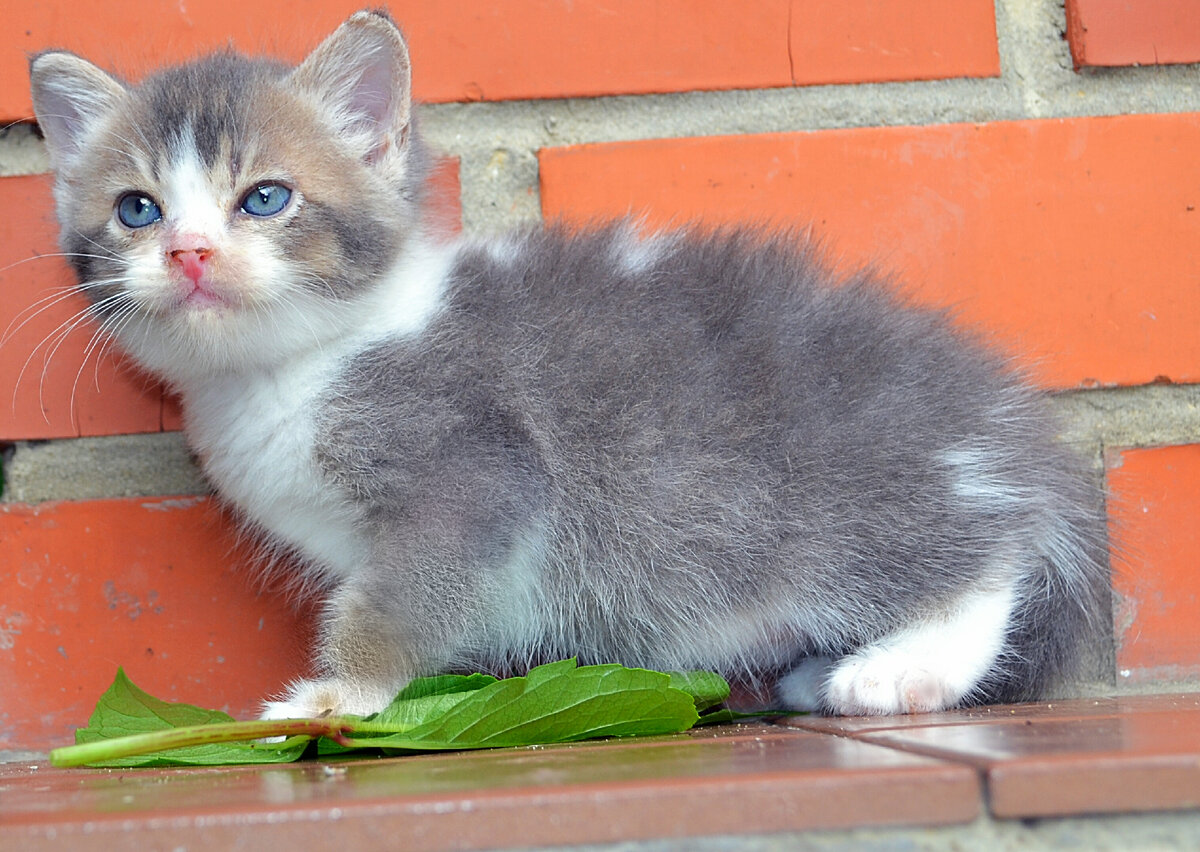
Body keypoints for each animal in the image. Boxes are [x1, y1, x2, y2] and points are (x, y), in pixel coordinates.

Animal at [28, 10, 1108, 715]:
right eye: (137, 209)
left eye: (265, 198)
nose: (188, 252)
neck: (297, 370)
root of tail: (1004, 426)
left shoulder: (472, 468)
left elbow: (401, 590)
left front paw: (340, 690)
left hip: (848, 495)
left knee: (987, 556)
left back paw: (903, 667)